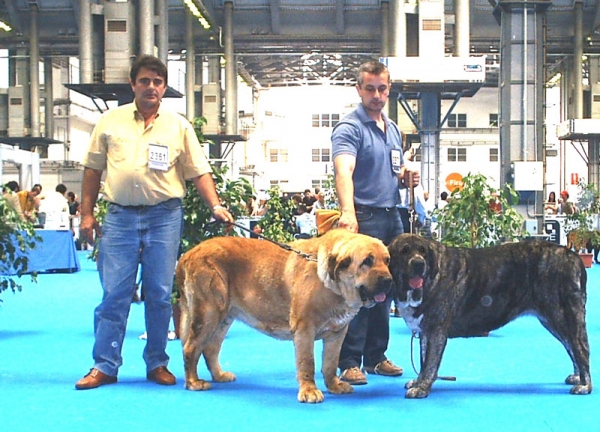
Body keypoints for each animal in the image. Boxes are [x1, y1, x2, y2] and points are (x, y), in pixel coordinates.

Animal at [176, 230, 392, 402]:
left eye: (387, 260)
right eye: (367, 261)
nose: (388, 280)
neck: (333, 286)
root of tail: (187, 254)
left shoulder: (337, 333)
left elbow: (330, 363)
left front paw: (334, 386)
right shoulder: (305, 329)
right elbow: (307, 363)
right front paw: (309, 391)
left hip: (224, 318)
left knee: (210, 349)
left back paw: (219, 375)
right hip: (208, 313)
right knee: (191, 348)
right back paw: (194, 382)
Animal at [390, 235, 592, 400]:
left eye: (422, 251)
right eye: (404, 250)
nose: (418, 263)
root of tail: (574, 257)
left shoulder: (436, 330)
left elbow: (430, 363)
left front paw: (422, 388)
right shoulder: (425, 332)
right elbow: (424, 360)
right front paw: (418, 382)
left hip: (563, 316)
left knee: (581, 349)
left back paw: (585, 385)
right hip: (552, 321)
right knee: (572, 347)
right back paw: (578, 378)